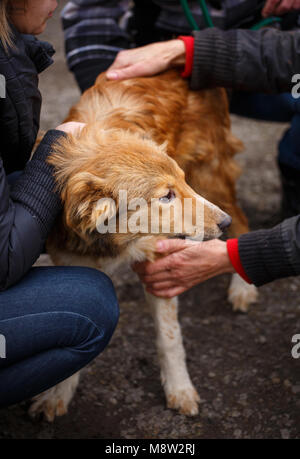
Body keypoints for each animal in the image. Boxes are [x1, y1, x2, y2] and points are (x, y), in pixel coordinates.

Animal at [28, 70, 258, 422]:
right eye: (166, 196)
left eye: (181, 183)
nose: (222, 223)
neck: (116, 240)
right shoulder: (75, 263)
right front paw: (56, 394)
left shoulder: (159, 259)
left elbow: (169, 338)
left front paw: (179, 389)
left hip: (211, 176)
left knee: (244, 221)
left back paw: (242, 287)